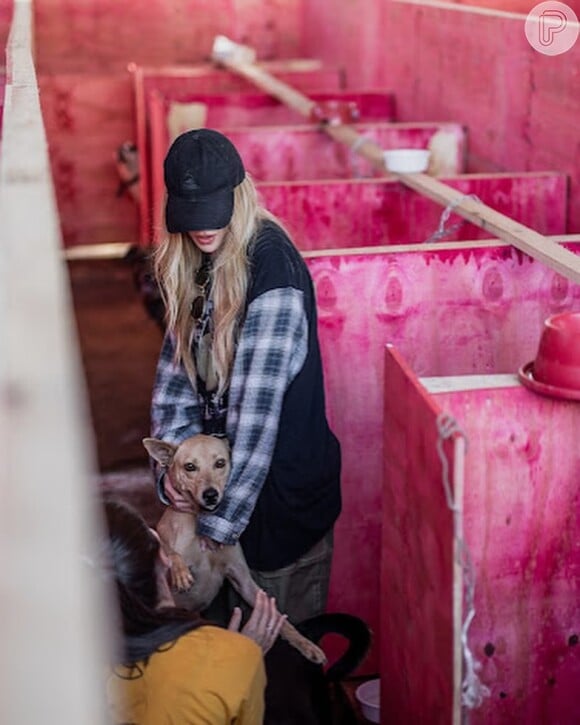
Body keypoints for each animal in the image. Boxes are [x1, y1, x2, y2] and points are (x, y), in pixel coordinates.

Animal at [143, 432, 328, 664]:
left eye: (220, 463)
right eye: (190, 467)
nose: (211, 495)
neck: (200, 522)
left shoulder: (244, 581)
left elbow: (282, 620)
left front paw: (305, 643)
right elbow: (169, 550)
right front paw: (180, 572)